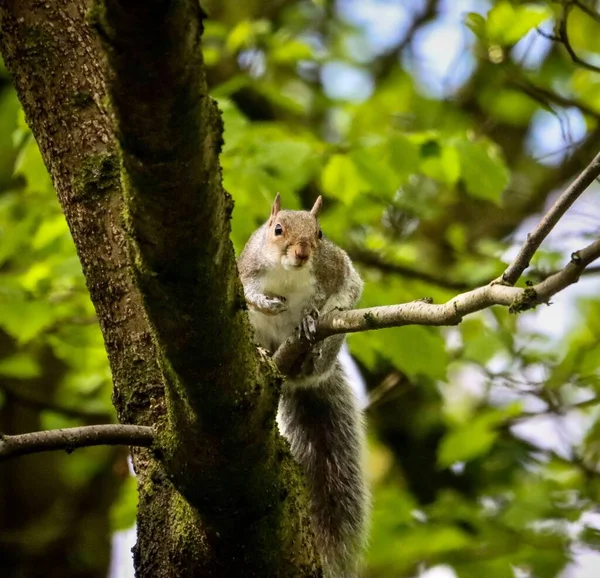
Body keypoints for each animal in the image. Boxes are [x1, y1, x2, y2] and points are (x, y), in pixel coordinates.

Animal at [237, 195, 368, 576]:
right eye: (278, 229)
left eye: (320, 233)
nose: (303, 252)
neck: (289, 273)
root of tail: (294, 377)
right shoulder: (245, 269)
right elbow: (247, 294)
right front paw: (267, 303)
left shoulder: (336, 266)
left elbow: (350, 287)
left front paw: (312, 315)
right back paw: (262, 352)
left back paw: (314, 354)